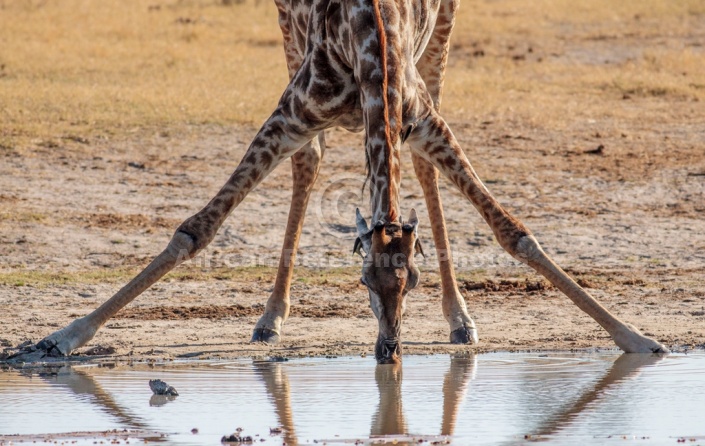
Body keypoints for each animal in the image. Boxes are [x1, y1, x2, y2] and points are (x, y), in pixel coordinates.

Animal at [9, 0, 664, 364]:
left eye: (413, 280)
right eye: (362, 282)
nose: (389, 353)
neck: (371, 48)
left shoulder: (421, 115)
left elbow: (513, 231)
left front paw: (638, 340)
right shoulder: (294, 109)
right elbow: (197, 229)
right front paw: (60, 337)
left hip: (442, 38)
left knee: (418, 168)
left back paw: (460, 319)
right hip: (288, 33)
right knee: (311, 160)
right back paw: (270, 317)